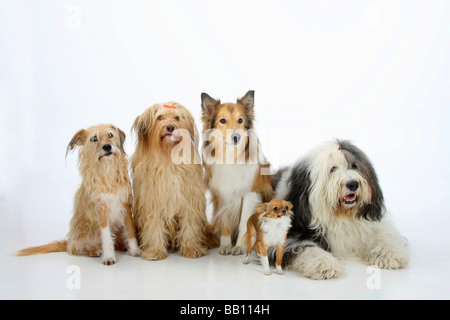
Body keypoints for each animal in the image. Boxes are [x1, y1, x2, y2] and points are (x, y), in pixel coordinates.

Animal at [16, 124, 141, 264]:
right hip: (85, 233)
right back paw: (92, 251)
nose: (107, 147)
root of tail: (69, 240)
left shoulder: (125, 204)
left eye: (110, 135)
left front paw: (135, 250)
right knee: (73, 248)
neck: (107, 171)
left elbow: (130, 230)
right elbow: (107, 237)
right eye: (94, 138)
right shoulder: (101, 209)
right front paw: (109, 257)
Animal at [130, 102, 207, 260]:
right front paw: (155, 251)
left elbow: (189, 225)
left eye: (177, 118)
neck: (168, 157)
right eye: (160, 117)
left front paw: (191, 248)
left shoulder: (189, 200)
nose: (170, 127)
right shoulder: (152, 203)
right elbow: (153, 227)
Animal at [201, 90, 272, 255]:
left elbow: (243, 223)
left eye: (240, 120)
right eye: (222, 120)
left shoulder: (250, 194)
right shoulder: (221, 194)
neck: (231, 157)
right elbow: (225, 222)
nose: (236, 137)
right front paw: (225, 246)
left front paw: (239, 246)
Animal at [268, 139, 410, 278]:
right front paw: (325, 263)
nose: (353, 184)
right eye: (332, 169)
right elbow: (304, 247)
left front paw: (390, 254)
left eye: (354, 166)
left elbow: (384, 234)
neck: (341, 214)